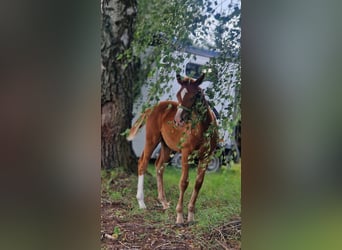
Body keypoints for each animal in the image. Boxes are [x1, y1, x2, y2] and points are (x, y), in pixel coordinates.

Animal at [127, 73, 218, 225]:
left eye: (195, 95)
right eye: (178, 95)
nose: (177, 120)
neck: (203, 128)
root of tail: (153, 107)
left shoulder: (207, 156)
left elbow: (198, 183)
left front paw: (191, 215)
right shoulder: (186, 153)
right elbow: (184, 182)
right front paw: (179, 216)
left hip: (167, 146)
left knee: (159, 166)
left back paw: (163, 202)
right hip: (152, 139)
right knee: (143, 163)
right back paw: (141, 202)